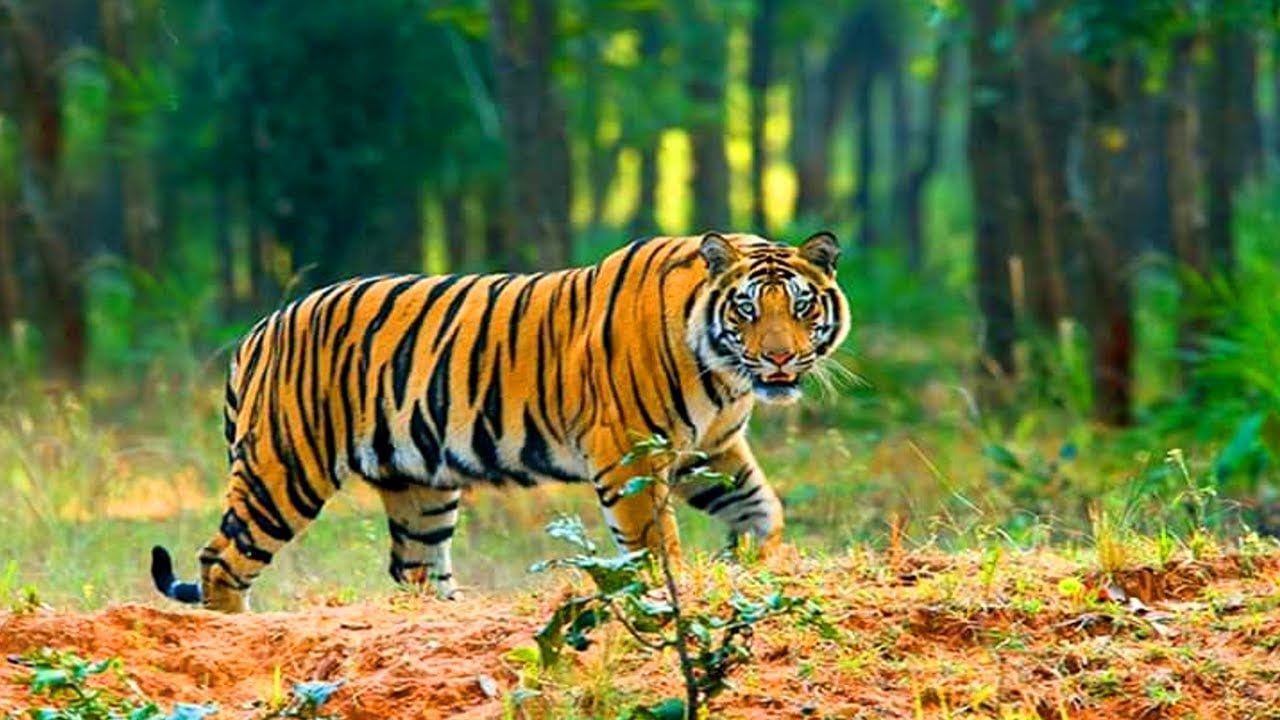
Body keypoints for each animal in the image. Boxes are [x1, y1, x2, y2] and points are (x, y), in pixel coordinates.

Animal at [149, 231, 851, 612]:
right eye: (747, 309)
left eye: (800, 306)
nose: (779, 358)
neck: (724, 373)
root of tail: (259, 329)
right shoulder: (630, 451)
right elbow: (656, 545)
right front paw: (675, 593)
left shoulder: (711, 451)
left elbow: (762, 509)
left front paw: (749, 562)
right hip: (284, 471)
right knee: (220, 560)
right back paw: (235, 631)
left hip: (419, 488)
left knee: (415, 570)